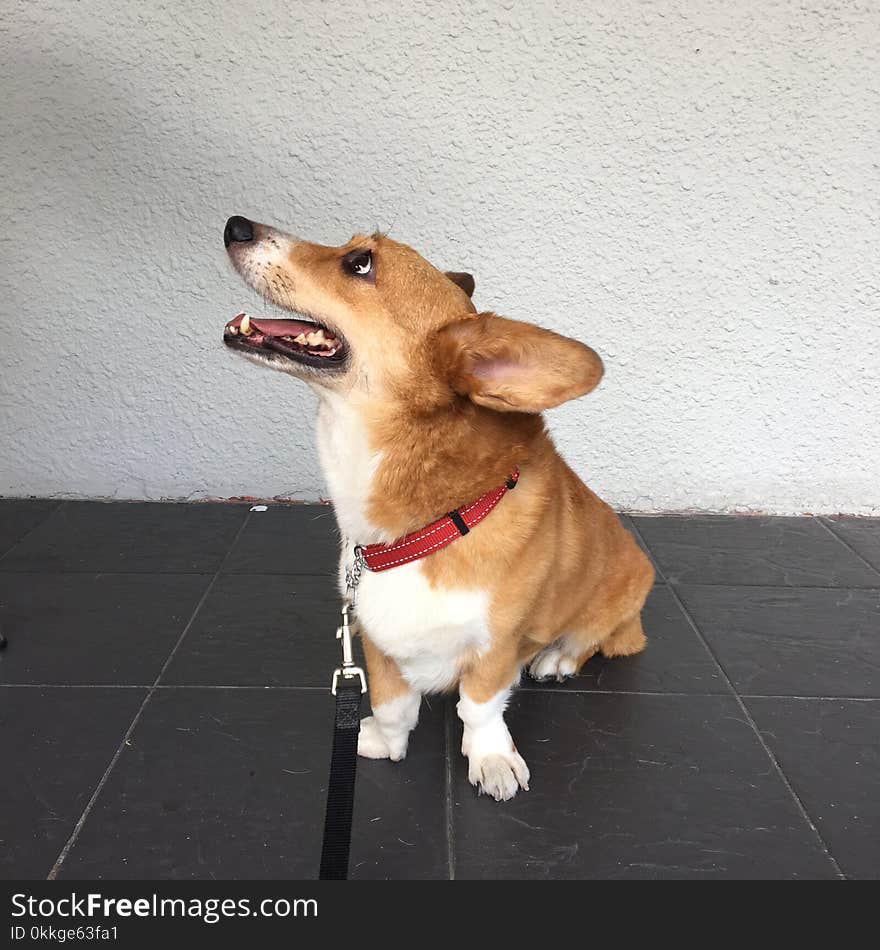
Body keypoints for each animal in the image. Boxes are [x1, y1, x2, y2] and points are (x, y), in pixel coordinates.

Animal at [223, 218, 656, 804]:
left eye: (360, 263)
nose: (235, 226)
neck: (427, 525)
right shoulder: (373, 638)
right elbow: (390, 703)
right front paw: (381, 742)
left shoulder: (495, 647)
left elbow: (479, 707)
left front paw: (492, 760)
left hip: (622, 590)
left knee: (594, 638)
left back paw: (557, 658)